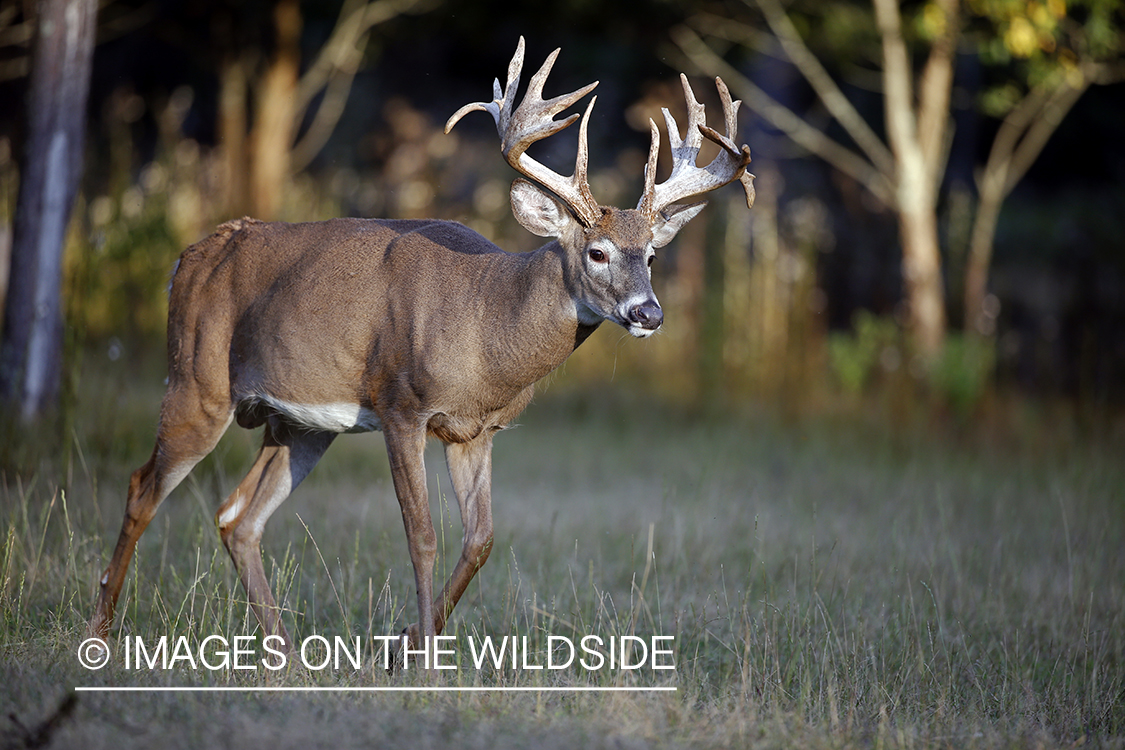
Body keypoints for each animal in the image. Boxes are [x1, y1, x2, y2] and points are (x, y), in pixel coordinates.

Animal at [85, 38, 756, 665]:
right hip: (197, 380)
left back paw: (284, 654)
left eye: (653, 255)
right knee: (142, 486)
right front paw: (424, 657)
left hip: (297, 426)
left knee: (237, 516)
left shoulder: (476, 431)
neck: (486, 325)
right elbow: (422, 535)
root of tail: (185, 260)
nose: (649, 313)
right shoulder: (401, 405)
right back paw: (100, 632)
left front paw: (404, 642)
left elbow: (481, 539)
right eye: (597, 252)